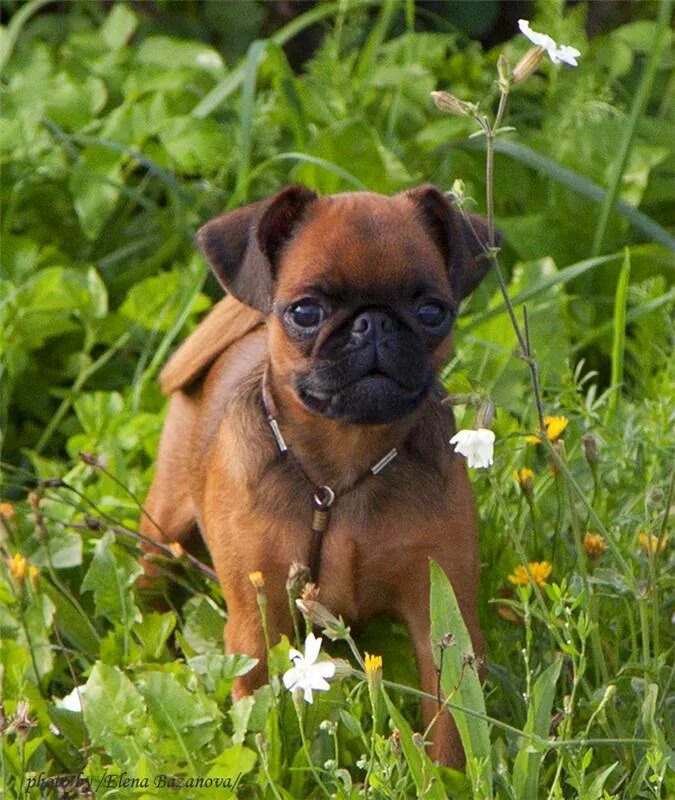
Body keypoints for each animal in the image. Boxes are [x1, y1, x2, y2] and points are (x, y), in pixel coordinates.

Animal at [141, 184, 492, 764]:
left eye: (431, 311)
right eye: (306, 311)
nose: (374, 321)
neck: (342, 472)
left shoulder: (441, 617)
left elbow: (451, 725)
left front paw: (447, 773)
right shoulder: (256, 625)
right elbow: (257, 711)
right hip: (162, 526)